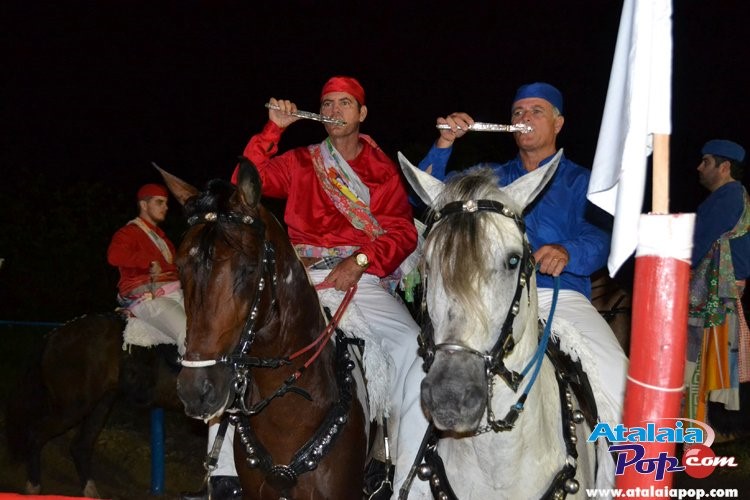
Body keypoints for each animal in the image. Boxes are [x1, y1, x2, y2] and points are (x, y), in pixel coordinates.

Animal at [4, 311, 184, 497]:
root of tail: (54, 335)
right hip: (73, 409)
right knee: (36, 436)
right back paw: (33, 487)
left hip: (101, 403)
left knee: (80, 446)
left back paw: (90, 492)